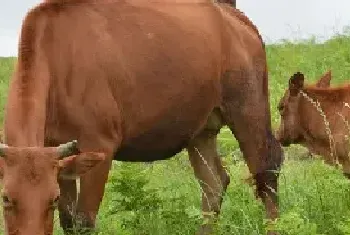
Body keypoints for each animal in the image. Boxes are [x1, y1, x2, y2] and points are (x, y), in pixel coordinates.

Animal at [0, 0, 284, 235]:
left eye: (52, 199)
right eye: (5, 198)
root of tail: (232, 15)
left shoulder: (100, 144)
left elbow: (83, 222)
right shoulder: (60, 156)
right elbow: (69, 222)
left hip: (248, 106)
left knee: (266, 172)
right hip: (200, 129)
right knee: (214, 182)